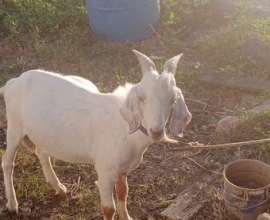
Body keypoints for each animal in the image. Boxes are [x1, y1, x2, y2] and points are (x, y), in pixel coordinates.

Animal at [1, 50, 191, 220]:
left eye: (173, 100)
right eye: (142, 98)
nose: (156, 131)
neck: (124, 128)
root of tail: (13, 81)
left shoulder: (122, 168)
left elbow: (123, 192)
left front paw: (126, 216)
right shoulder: (105, 170)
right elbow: (108, 208)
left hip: (43, 132)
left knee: (41, 152)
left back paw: (59, 188)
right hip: (15, 126)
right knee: (8, 162)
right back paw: (12, 204)